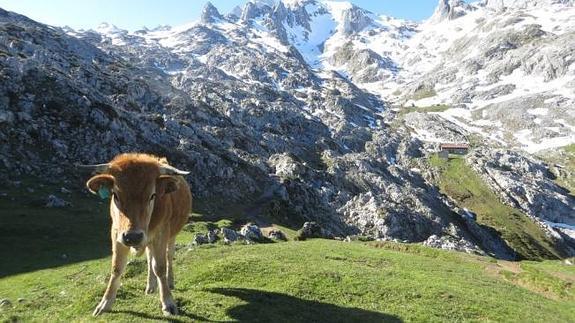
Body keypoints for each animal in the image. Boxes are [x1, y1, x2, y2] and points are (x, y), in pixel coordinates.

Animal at [83, 154, 192, 316]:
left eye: (152, 195)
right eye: (115, 195)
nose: (133, 237)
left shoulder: (161, 233)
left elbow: (160, 267)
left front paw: (168, 302)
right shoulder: (117, 233)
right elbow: (117, 268)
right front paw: (104, 304)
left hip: (171, 235)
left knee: (168, 256)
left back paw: (170, 282)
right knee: (150, 259)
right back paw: (150, 286)